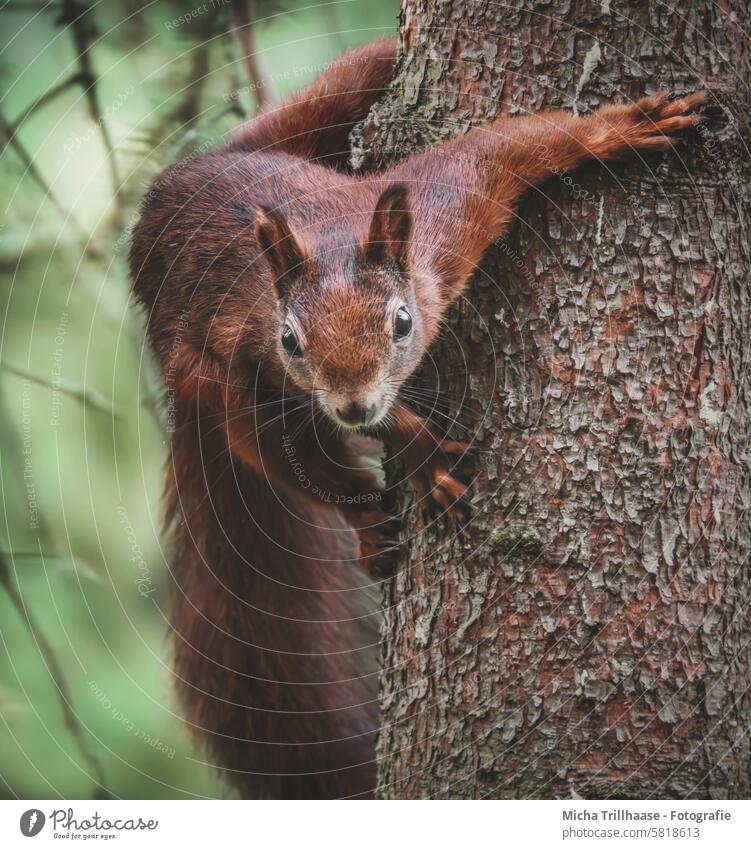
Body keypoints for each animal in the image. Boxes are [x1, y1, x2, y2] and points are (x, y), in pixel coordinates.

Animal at [128, 33, 704, 800]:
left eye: (401, 321)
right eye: (291, 341)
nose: (355, 400)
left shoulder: (445, 213)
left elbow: (502, 148)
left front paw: (616, 130)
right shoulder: (250, 359)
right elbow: (305, 442)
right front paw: (419, 458)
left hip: (320, 116)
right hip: (198, 371)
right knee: (275, 453)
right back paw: (367, 518)